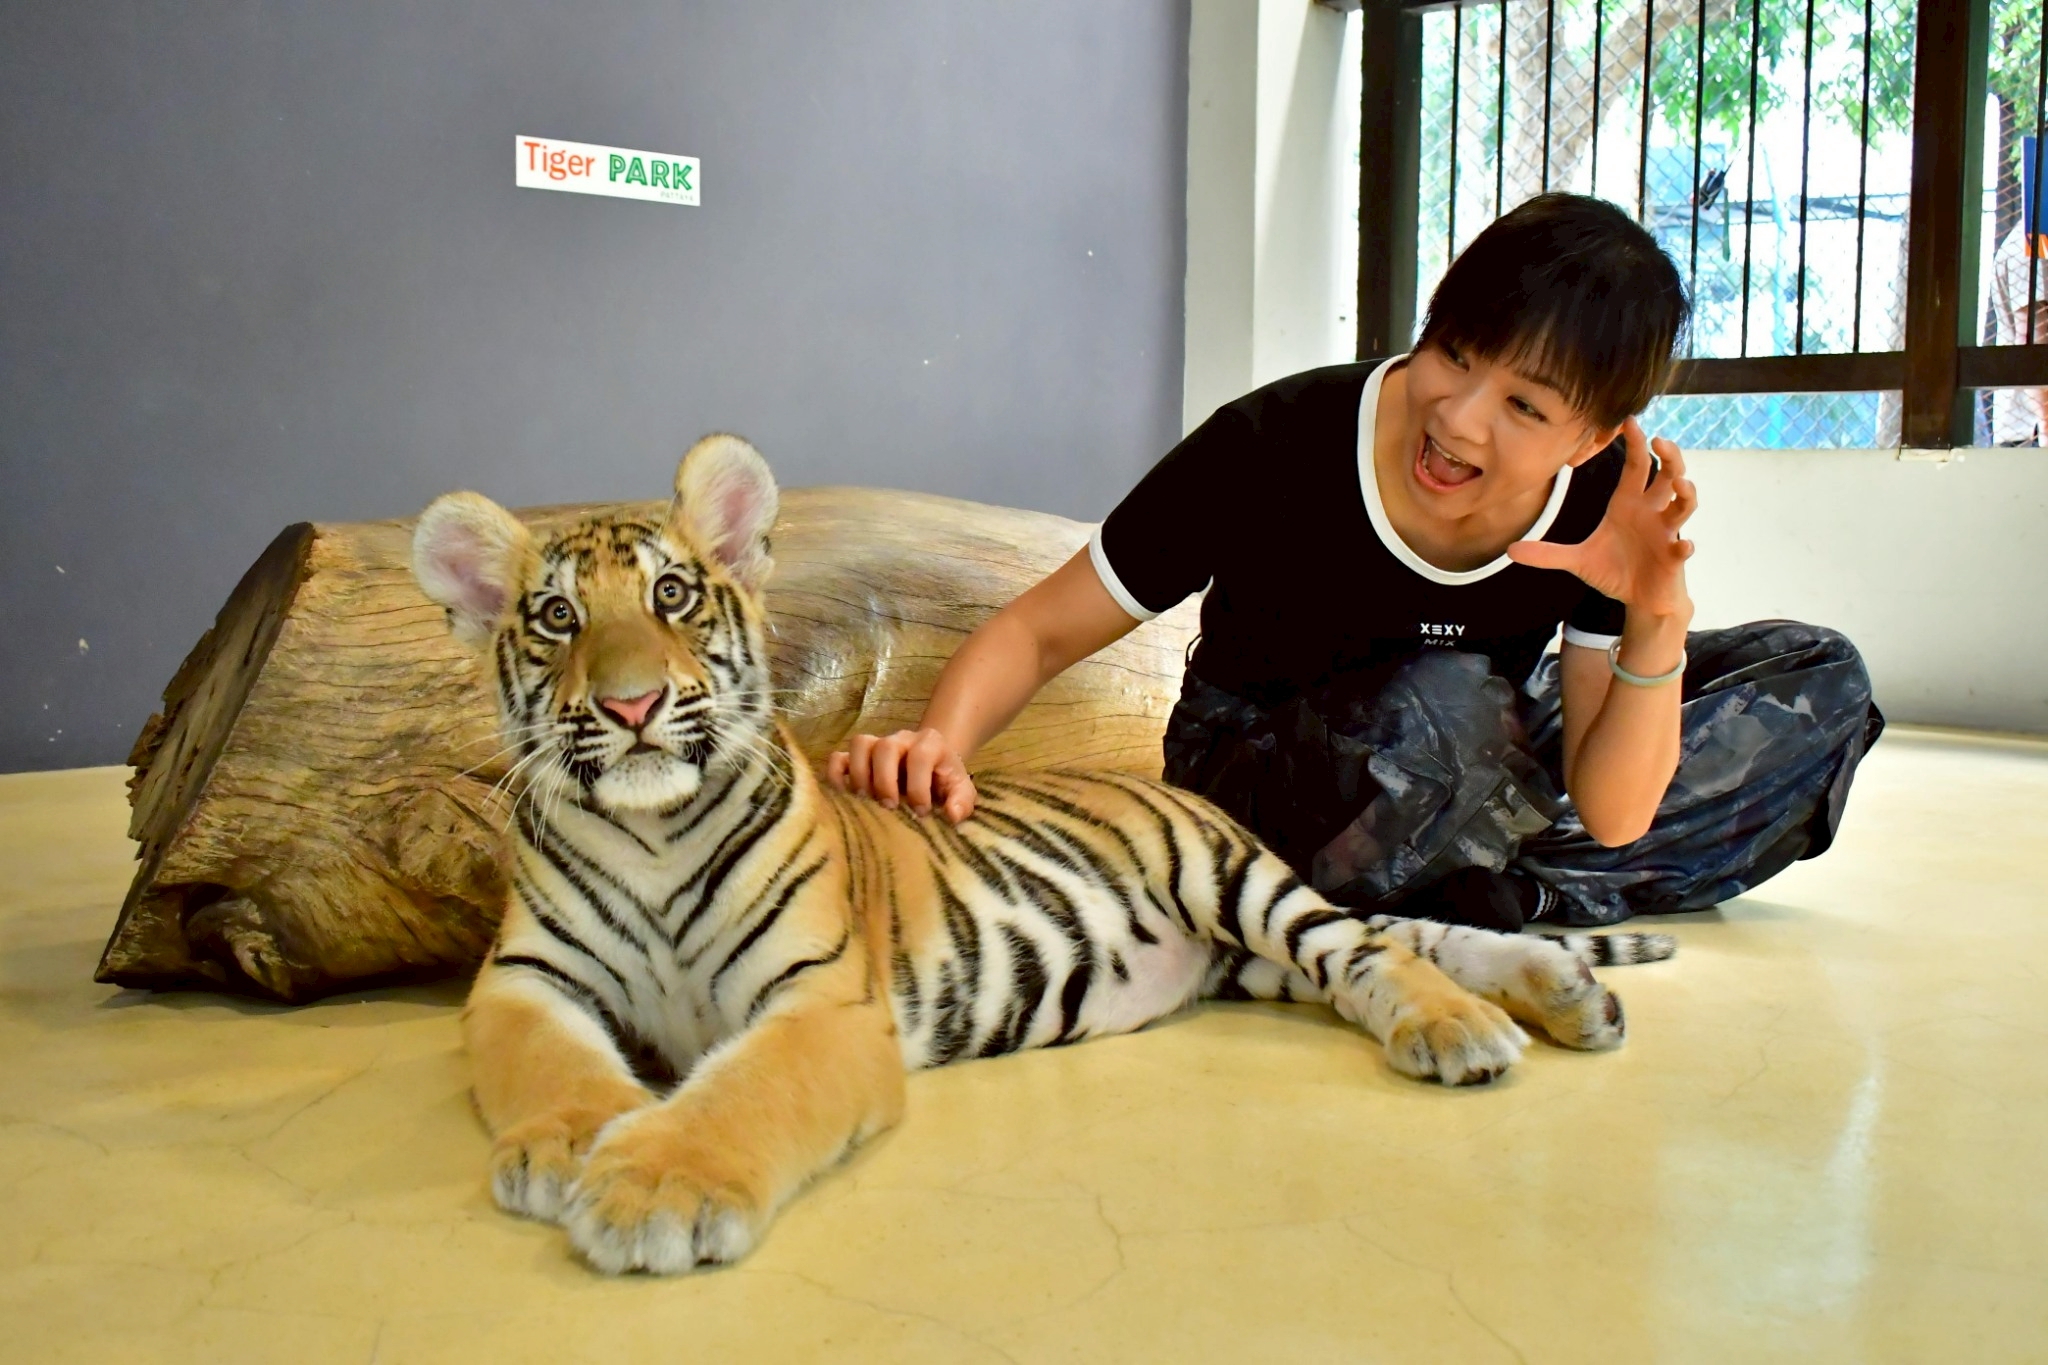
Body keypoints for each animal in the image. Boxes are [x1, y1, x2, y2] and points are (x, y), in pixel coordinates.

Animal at [410, 433, 1675, 1276]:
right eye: (558, 620)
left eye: (672, 595)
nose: (628, 707)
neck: (653, 831)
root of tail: (1173, 788)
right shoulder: (525, 983)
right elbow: (547, 1067)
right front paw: (570, 1144)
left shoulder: (819, 1007)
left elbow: (742, 1092)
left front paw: (652, 1187)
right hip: (1254, 960)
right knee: (1386, 942)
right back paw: (1562, 993)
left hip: (1239, 887)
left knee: (1371, 952)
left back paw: (1468, 1029)